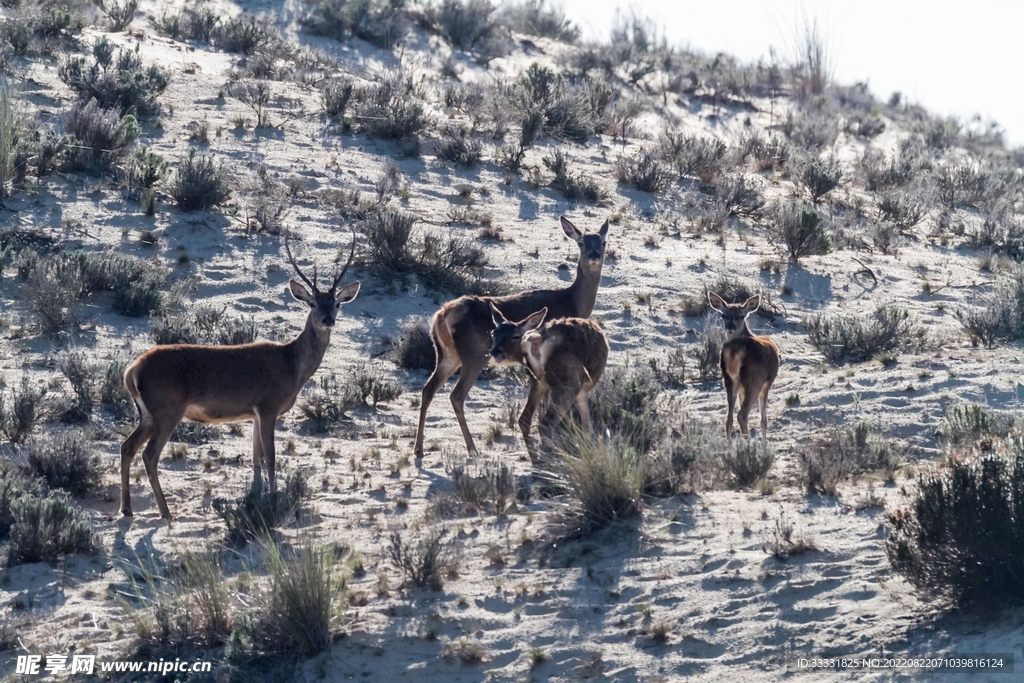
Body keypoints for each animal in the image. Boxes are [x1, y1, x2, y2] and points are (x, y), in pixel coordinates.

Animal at [119, 233, 361, 519]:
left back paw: (127, 509)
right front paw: (273, 498)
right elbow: (271, 457)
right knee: (149, 455)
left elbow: (256, 458)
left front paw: (257, 496)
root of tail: (132, 371)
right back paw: (165, 512)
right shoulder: (268, 405)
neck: (291, 365)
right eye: (312, 303)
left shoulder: (254, 412)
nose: (327, 320)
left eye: (336, 303)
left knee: (127, 447)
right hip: (167, 408)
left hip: (148, 413)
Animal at [489, 305, 609, 458]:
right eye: (493, 334)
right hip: (569, 381)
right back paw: (553, 456)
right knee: (546, 424)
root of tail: (539, 338)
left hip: (538, 379)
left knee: (525, 419)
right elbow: (586, 421)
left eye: (515, 336)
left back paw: (536, 457)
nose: (495, 352)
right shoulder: (581, 388)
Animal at [707, 292, 780, 444]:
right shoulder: (767, 384)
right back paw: (747, 444)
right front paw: (764, 444)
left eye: (740, 316)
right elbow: (763, 420)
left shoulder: (740, 389)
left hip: (729, 380)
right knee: (742, 415)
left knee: (729, 418)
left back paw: (730, 444)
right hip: (754, 380)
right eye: (723, 315)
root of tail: (734, 350)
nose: (730, 327)